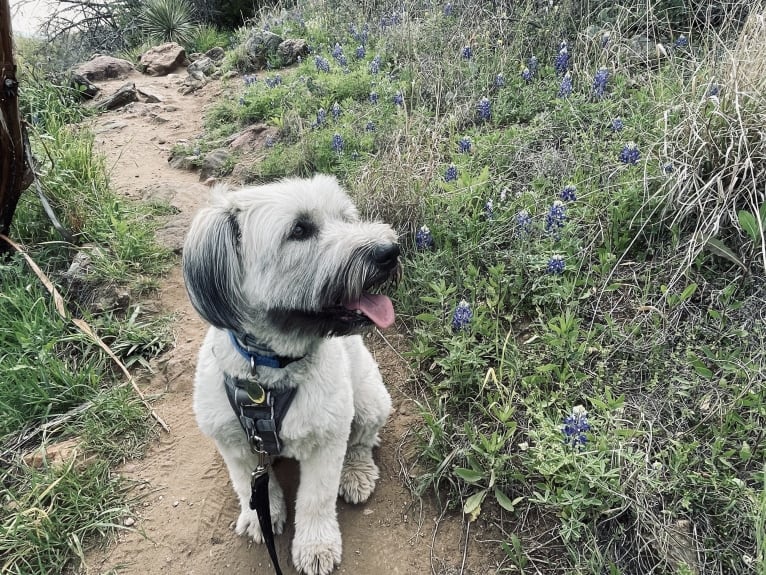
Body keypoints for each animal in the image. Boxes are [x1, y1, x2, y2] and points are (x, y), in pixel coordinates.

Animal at [182, 176, 400, 575]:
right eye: (300, 230)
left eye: (346, 217)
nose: (389, 251)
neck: (269, 372)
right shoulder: (235, 444)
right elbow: (249, 487)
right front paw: (261, 517)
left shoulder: (327, 438)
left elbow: (316, 498)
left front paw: (315, 546)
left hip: (368, 400)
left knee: (361, 441)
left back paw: (356, 472)